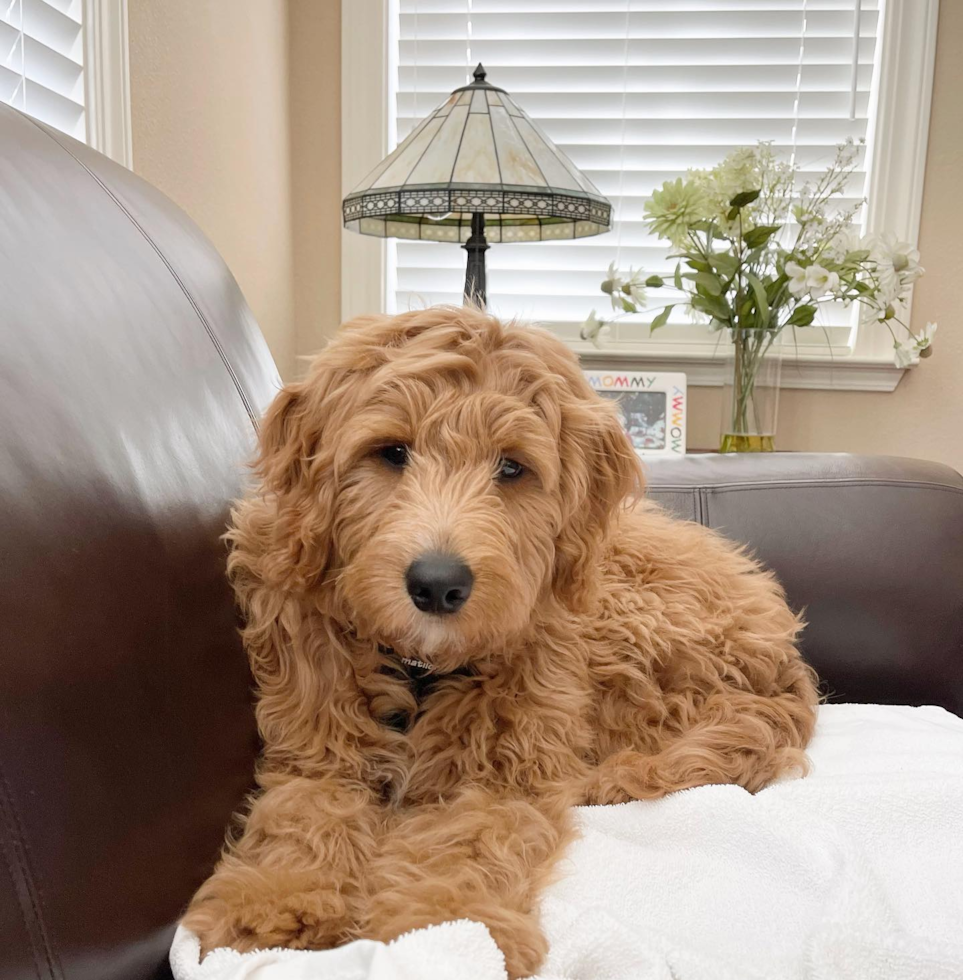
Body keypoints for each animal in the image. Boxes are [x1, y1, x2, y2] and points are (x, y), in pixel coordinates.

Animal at [185, 304, 816, 972]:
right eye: (391, 452)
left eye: (511, 467)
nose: (437, 586)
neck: (421, 666)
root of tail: (783, 654)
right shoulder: (317, 746)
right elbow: (304, 811)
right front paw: (275, 902)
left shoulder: (506, 773)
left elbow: (468, 842)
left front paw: (445, 929)